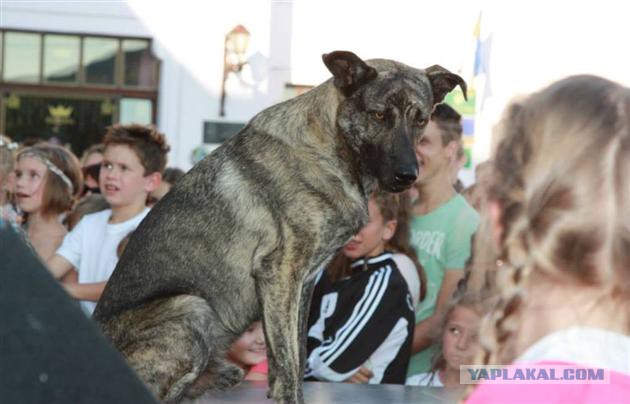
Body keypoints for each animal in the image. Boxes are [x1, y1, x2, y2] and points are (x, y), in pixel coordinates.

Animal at [95, 52, 470, 402]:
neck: (330, 146)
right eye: (378, 115)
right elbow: (288, 365)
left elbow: (295, 356)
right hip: (191, 306)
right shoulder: (280, 274)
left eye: (421, 120)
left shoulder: (304, 284)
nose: (408, 176)